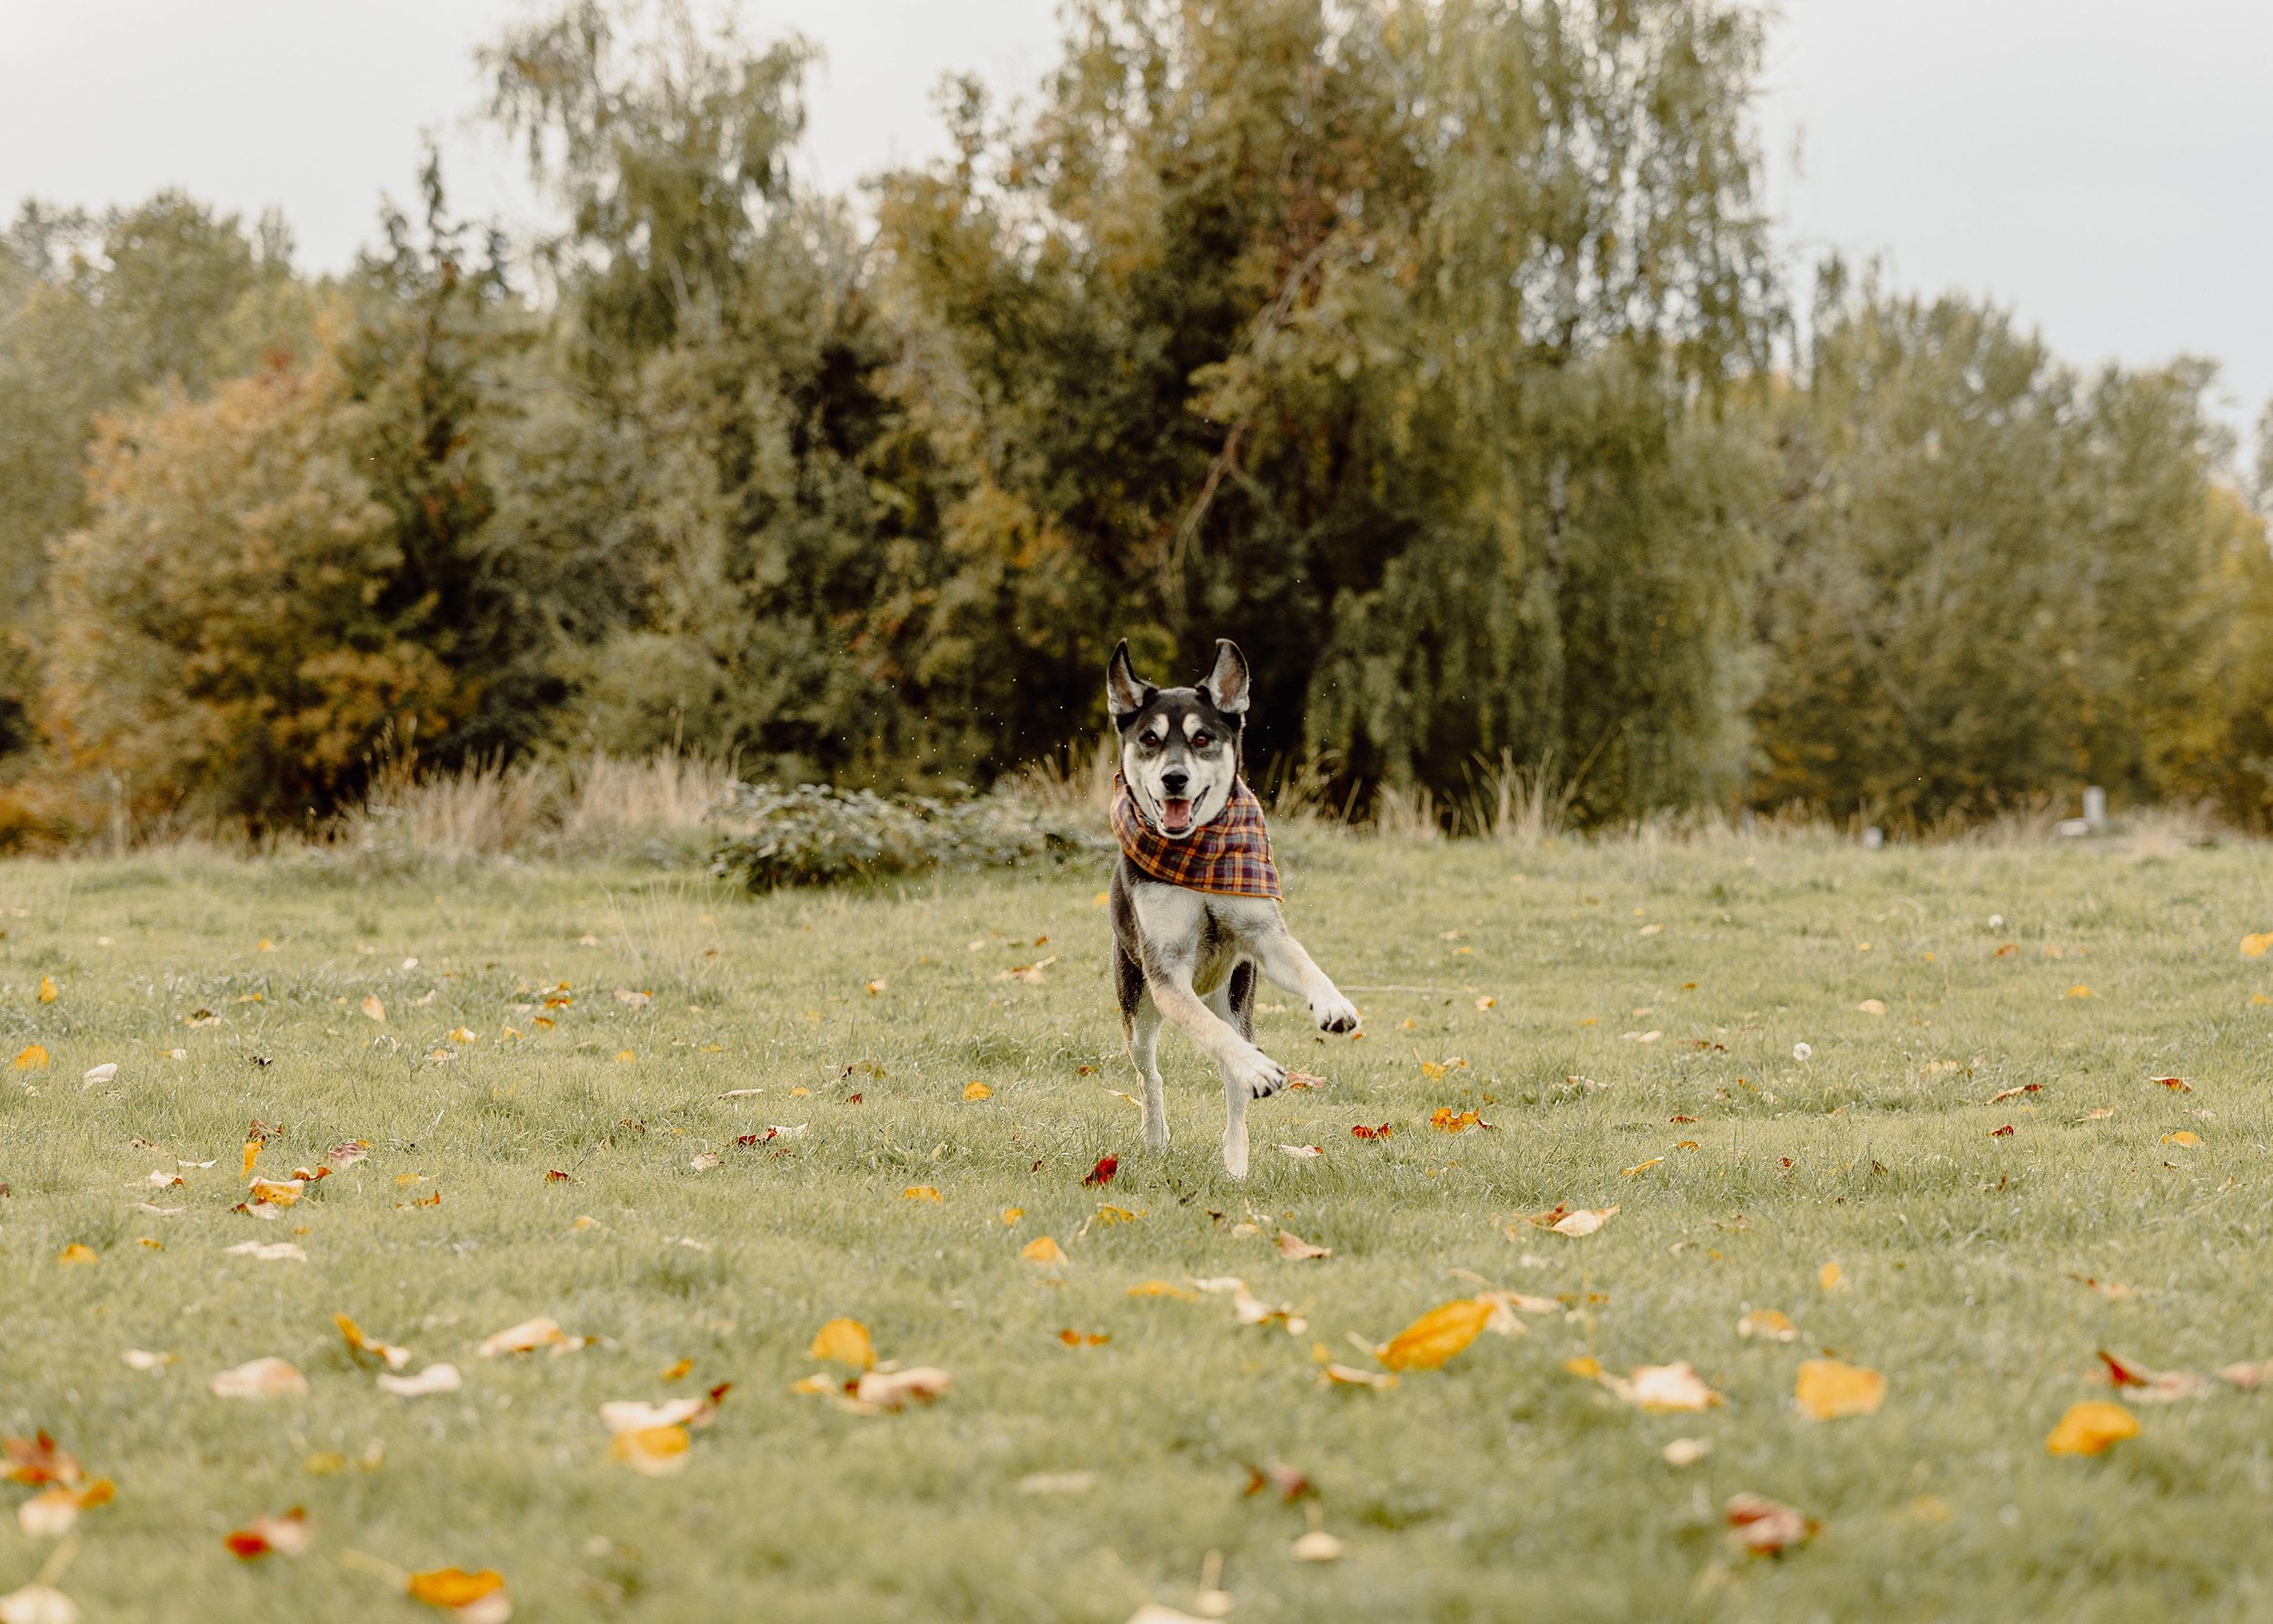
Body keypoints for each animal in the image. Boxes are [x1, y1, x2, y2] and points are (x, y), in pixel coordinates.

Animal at [1105, 637, 1355, 1173]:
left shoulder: (1261, 933)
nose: (1174, 778)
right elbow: (1208, 1032)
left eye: (1202, 739)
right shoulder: (1166, 972)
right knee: (1151, 1074)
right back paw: (1157, 1135)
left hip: (1237, 995)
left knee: (1233, 1079)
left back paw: (1237, 1163)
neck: (1198, 852)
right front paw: (1259, 1070)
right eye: (1150, 739)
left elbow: (1303, 963)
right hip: (1137, 1007)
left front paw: (1333, 1004)